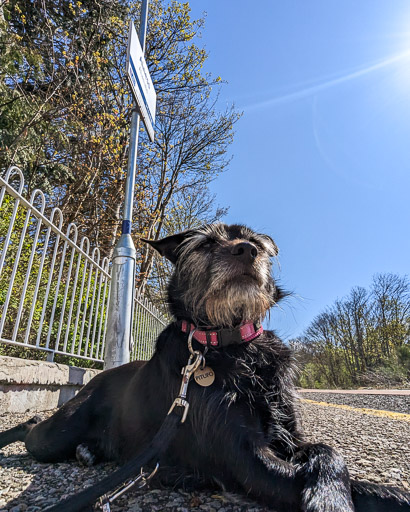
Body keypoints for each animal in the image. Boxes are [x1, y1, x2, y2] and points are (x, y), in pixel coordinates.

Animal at [0, 225, 410, 512]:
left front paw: (334, 491)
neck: (232, 344)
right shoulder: (248, 462)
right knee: (32, 425)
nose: (247, 250)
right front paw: (333, 499)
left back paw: (89, 453)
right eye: (207, 244)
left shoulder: (290, 437)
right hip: (56, 435)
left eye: (255, 241)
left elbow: (330, 452)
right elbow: (356, 483)